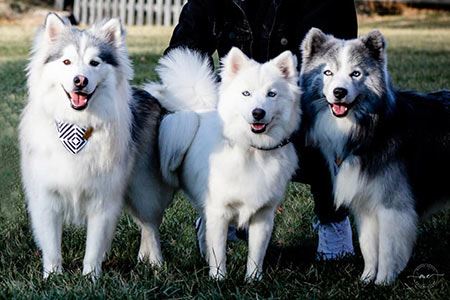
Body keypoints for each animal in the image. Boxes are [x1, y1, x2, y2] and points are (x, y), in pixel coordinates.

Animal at [298, 29, 450, 284]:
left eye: (356, 73)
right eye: (327, 72)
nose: (339, 92)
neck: (369, 129)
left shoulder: (392, 206)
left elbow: (387, 248)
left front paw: (383, 282)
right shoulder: (366, 205)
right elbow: (369, 246)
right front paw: (367, 278)